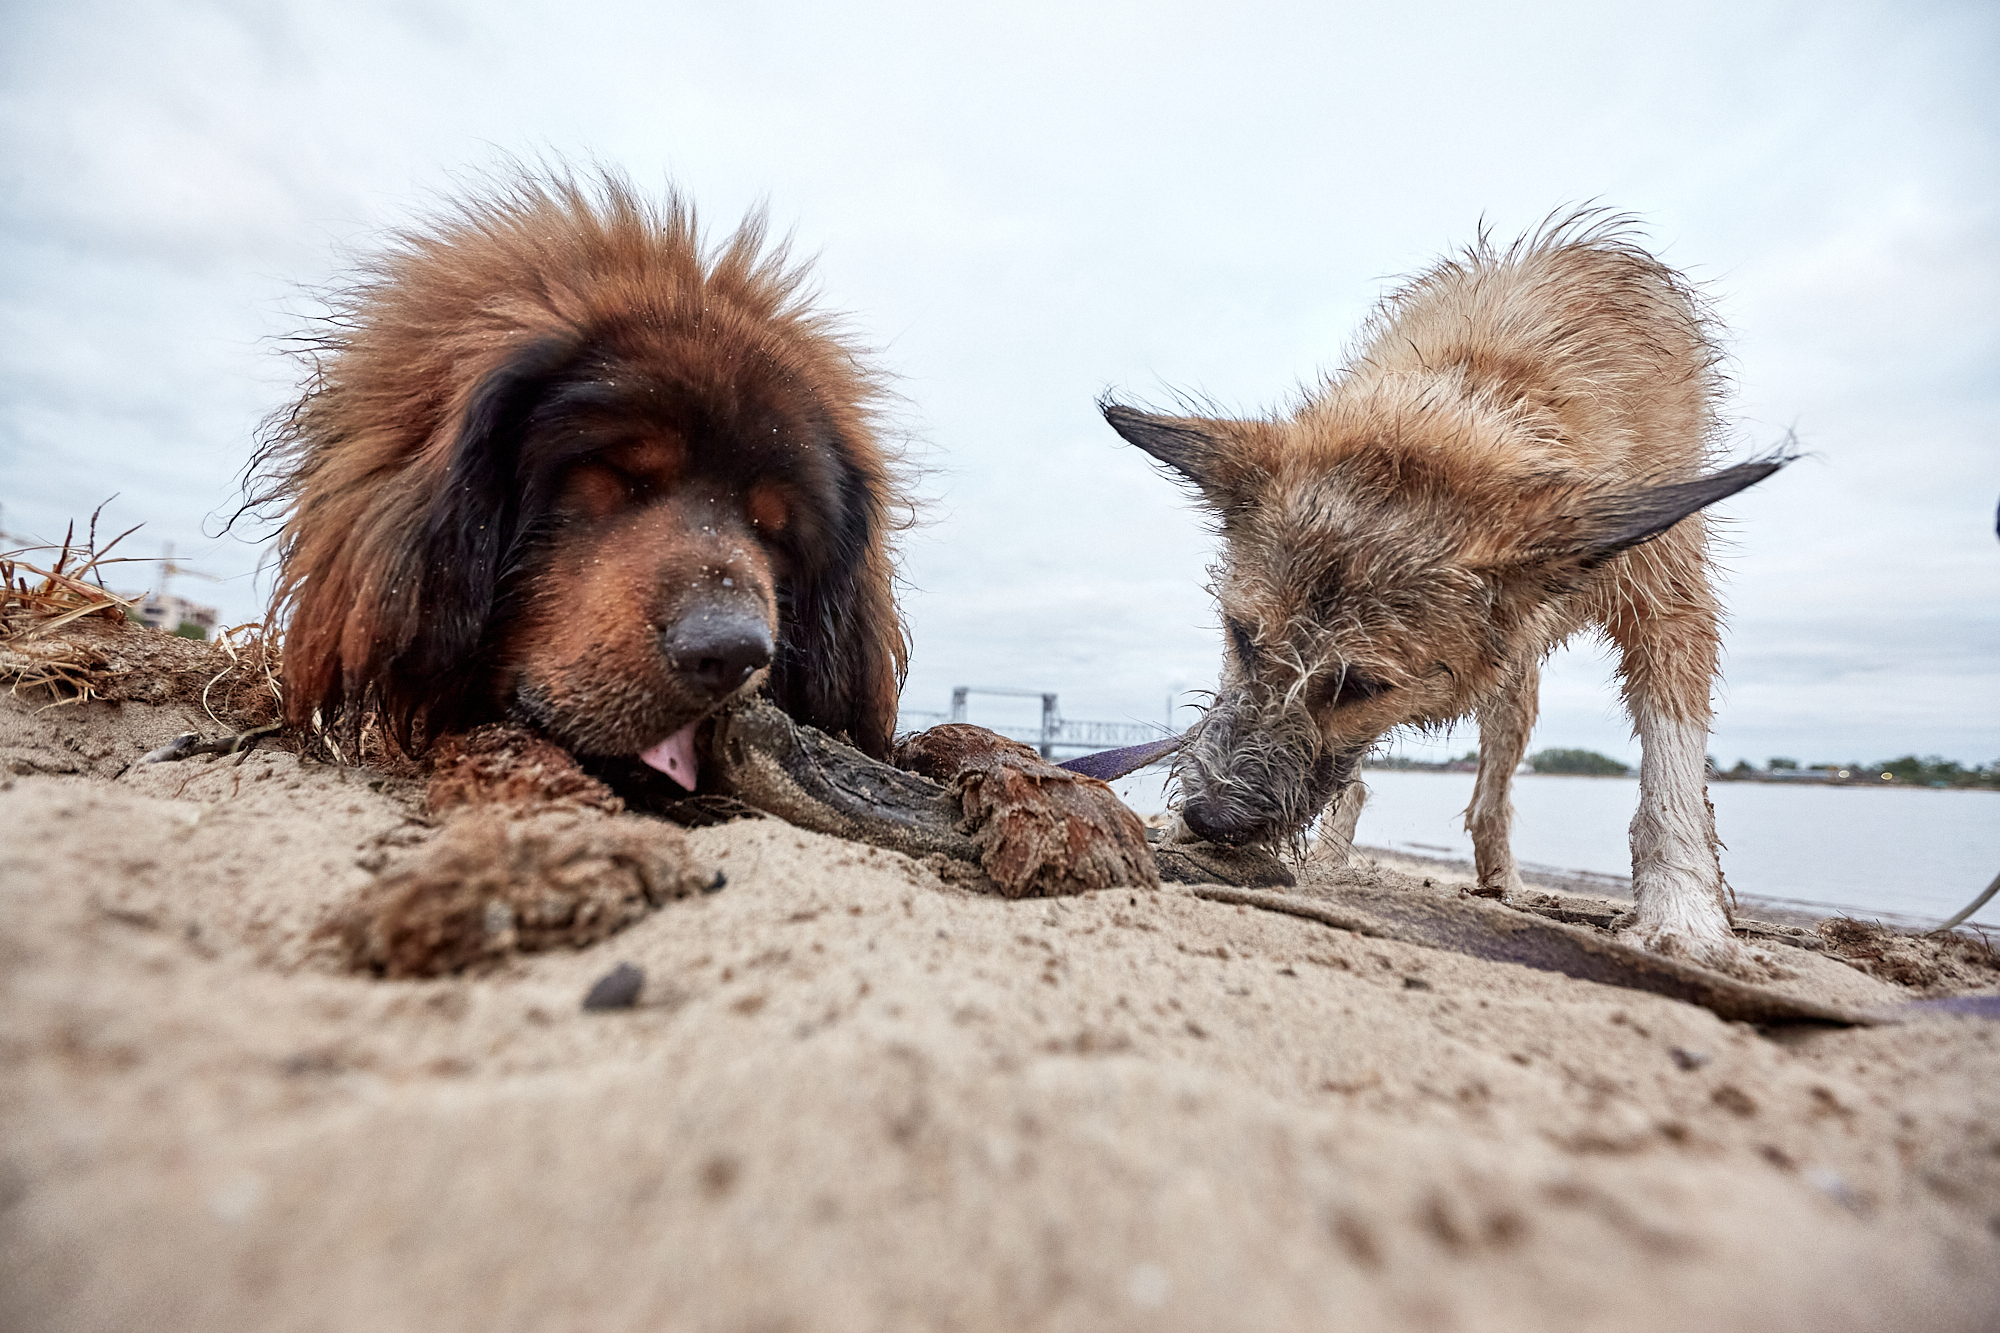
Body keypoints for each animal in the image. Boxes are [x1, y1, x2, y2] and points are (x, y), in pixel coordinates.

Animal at [1104, 215, 1792, 964]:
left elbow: (1671, 774)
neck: (1485, 385)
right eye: (1240, 636)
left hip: (1517, 695)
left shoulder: (1669, 598)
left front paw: (1682, 912)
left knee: (1490, 797)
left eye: (1361, 686)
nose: (1210, 815)